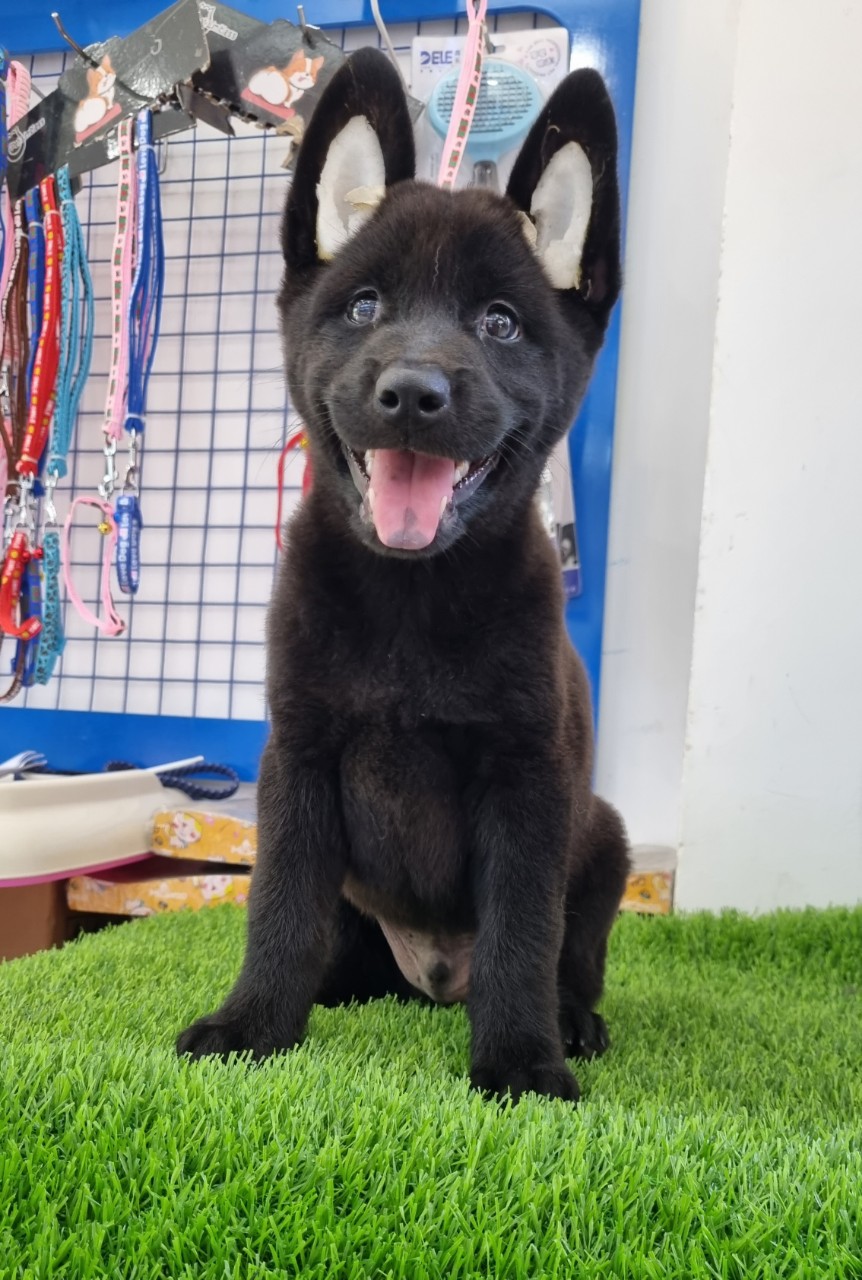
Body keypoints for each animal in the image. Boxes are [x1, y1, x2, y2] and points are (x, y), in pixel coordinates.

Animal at [178, 48, 630, 1103]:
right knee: (333, 943)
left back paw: (573, 1021)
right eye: (365, 307)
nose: (412, 394)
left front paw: (521, 1060)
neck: (409, 603)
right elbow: (279, 911)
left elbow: (522, 934)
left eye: (500, 323)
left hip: (604, 838)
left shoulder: (528, 782)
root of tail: (430, 979)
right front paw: (254, 1024)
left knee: (569, 955)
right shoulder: (298, 763)